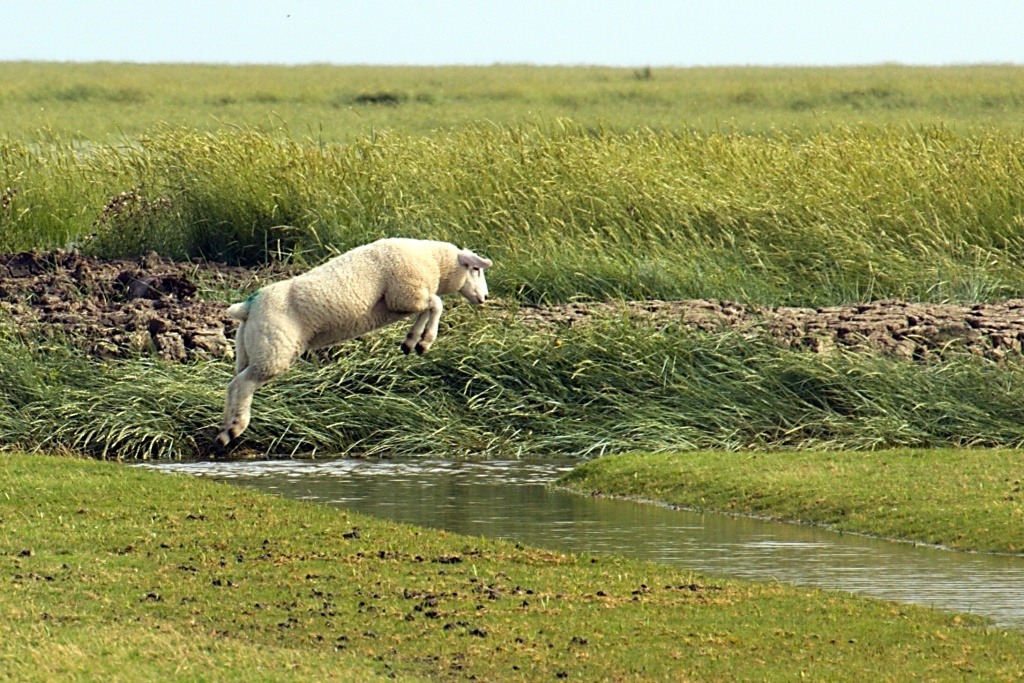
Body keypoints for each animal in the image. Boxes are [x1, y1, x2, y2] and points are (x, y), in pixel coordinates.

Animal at [216, 239, 491, 448]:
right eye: (475, 269)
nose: (486, 297)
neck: (433, 260)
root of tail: (247, 308)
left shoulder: (404, 300)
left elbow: (427, 308)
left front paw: (412, 342)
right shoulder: (406, 292)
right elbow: (437, 303)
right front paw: (425, 341)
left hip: (249, 350)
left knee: (232, 384)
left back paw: (224, 430)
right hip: (273, 350)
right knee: (244, 384)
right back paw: (236, 427)